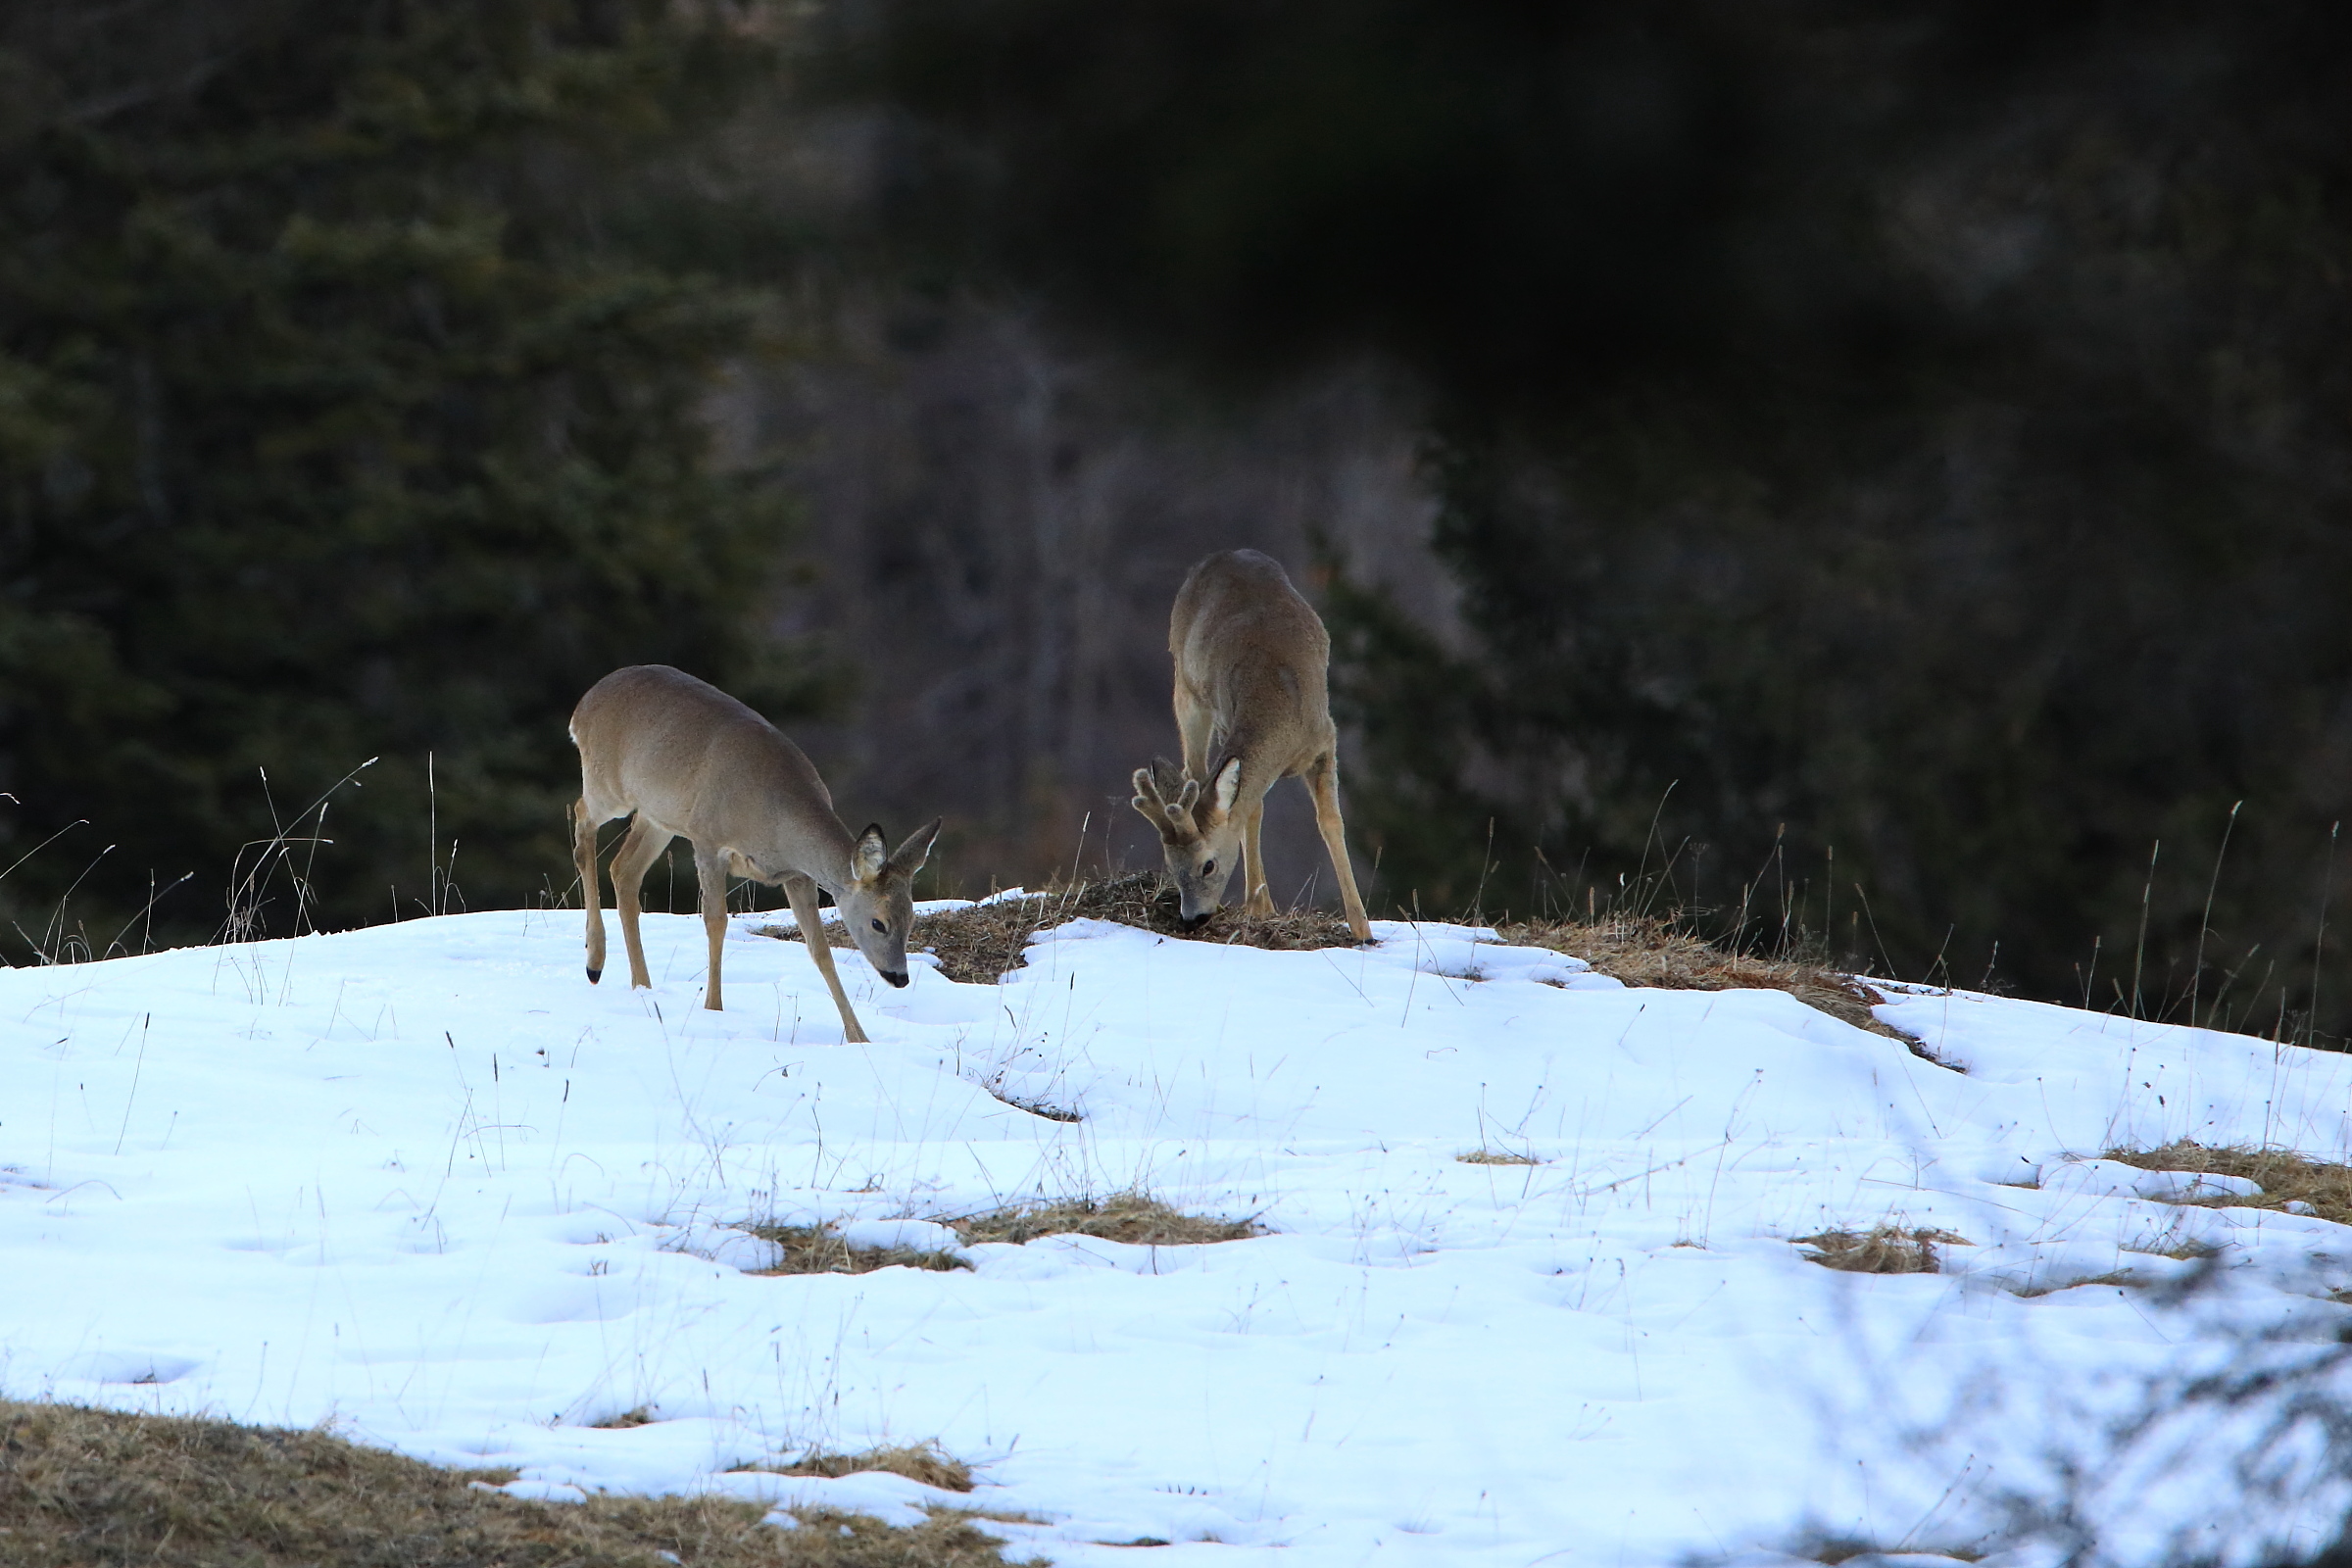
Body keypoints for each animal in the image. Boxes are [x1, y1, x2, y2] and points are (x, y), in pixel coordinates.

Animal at [566, 667, 936, 1044]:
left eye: (911, 918)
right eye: (879, 923)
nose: (900, 977)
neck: (774, 818)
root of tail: (583, 707)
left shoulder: (797, 874)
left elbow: (820, 949)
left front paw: (860, 1037)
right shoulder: (708, 840)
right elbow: (716, 922)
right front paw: (714, 1008)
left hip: (659, 815)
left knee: (623, 870)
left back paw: (641, 985)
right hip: (609, 786)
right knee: (583, 821)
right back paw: (595, 961)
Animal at [1124, 552, 1373, 940]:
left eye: (1208, 865)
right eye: (1171, 864)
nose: (1192, 918)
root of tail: (1220, 556)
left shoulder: (1325, 738)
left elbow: (1331, 821)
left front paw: (1362, 927)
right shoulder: (1229, 724)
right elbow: (1250, 812)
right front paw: (1259, 907)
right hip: (1186, 689)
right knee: (1195, 769)